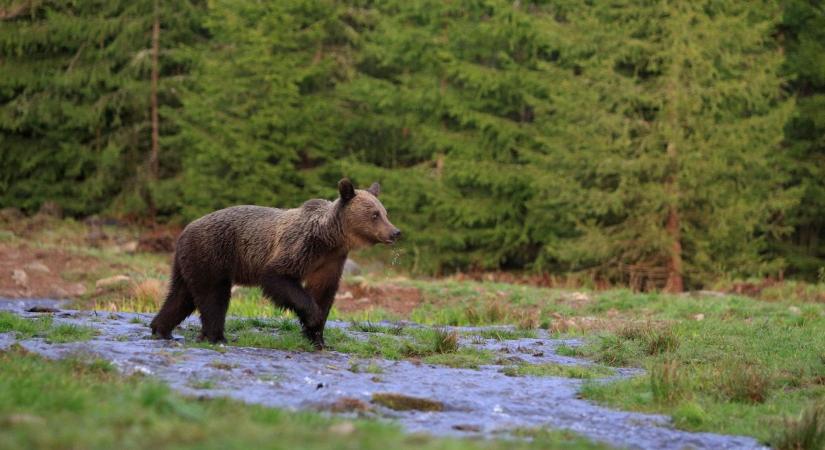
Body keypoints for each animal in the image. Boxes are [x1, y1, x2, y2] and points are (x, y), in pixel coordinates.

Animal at [154, 178, 402, 348]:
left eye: (385, 212)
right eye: (374, 214)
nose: (395, 232)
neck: (331, 238)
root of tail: (184, 231)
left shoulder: (331, 261)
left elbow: (324, 292)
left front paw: (318, 338)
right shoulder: (301, 247)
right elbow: (279, 277)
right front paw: (312, 319)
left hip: (190, 261)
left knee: (182, 296)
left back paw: (161, 329)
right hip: (212, 254)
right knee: (213, 296)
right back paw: (217, 336)